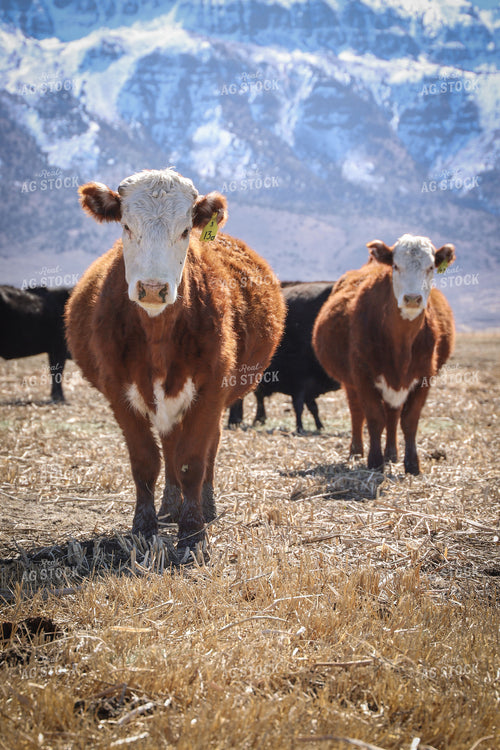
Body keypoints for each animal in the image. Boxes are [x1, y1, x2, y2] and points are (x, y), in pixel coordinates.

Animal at [65, 169, 286, 557]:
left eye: (184, 230)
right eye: (126, 226)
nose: (153, 289)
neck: (157, 336)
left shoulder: (210, 391)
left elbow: (193, 461)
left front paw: (193, 532)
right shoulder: (119, 392)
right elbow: (145, 461)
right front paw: (144, 527)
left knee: (206, 447)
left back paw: (204, 506)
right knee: (168, 446)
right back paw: (170, 506)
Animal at [228, 281, 341, 432]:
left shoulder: (308, 388)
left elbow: (313, 408)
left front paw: (319, 426)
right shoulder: (299, 384)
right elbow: (299, 407)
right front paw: (300, 427)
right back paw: (236, 421)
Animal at [312, 234, 456, 475]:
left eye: (430, 267)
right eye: (396, 266)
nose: (412, 298)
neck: (401, 343)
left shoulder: (424, 377)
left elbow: (409, 421)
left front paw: (412, 464)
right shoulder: (362, 375)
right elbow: (373, 418)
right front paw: (375, 461)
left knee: (392, 414)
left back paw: (392, 453)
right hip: (351, 382)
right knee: (357, 412)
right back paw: (356, 452)